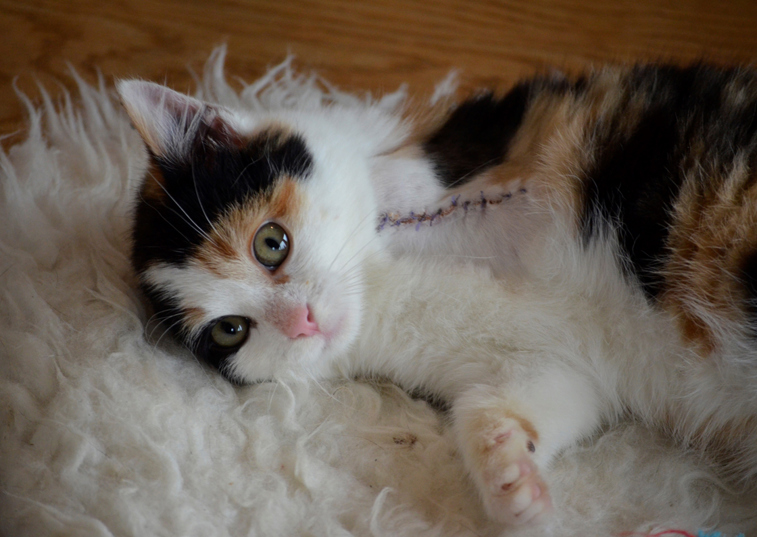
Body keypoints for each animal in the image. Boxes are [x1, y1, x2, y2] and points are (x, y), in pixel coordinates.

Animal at [116, 63, 756, 528]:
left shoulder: (475, 144)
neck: (379, 279)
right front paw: (510, 480)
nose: (301, 322)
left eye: (270, 243)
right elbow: (538, 395)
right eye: (231, 331)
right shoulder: (555, 358)